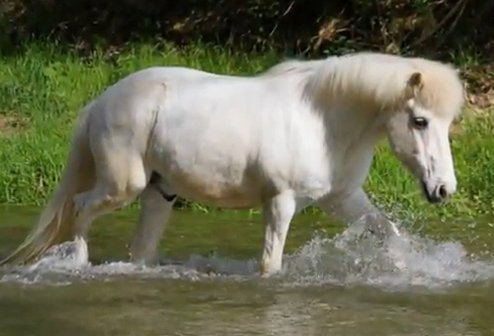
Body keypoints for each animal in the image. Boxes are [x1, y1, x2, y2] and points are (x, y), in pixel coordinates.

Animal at [0, 50, 466, 276]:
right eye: (420, 121)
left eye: (448, 123)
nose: (444, 190)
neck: (323, 120)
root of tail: (101, 102)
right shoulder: (280, 202)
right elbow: (270, 265)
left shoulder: (342, 198)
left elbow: (389, 233)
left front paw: (408, 271)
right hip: (122, 186)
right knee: (79, 208)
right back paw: (76, 263)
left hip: (159, 192)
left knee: (139, 251)